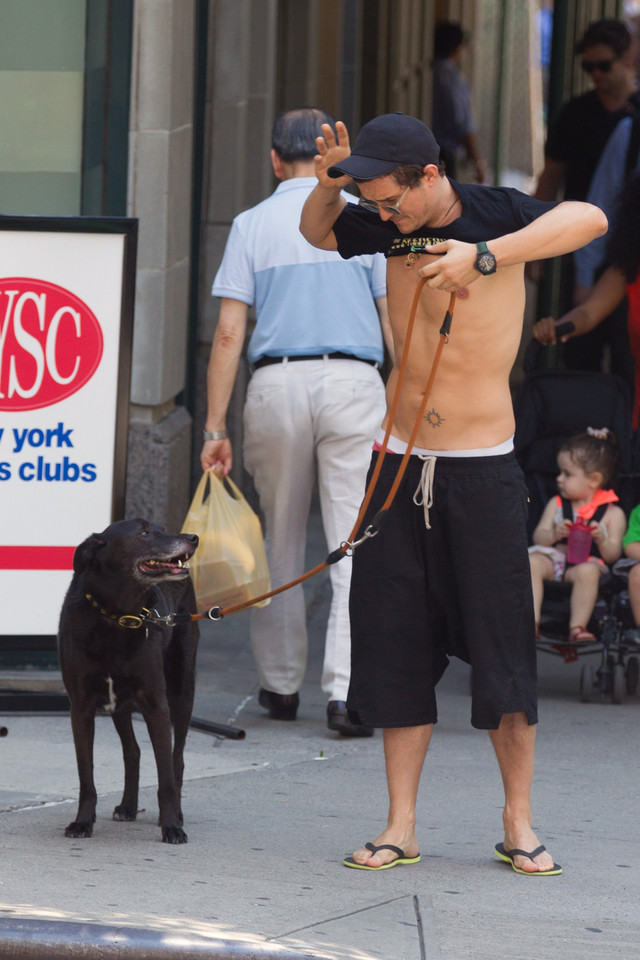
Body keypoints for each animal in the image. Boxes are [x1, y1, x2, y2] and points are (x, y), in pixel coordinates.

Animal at [59, 520, 200, 844]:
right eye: (144, 532)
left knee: (177, 759)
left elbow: (165, 778)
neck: (118, 614)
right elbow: (86, 775)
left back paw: (175, 813)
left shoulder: (156, 703)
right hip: (119, 705)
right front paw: (82, 822)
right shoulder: (81, 707)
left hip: (182, 690)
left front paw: (171, 826)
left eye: (160, 528)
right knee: (133, 751)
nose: (193, 537)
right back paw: (128, 806)